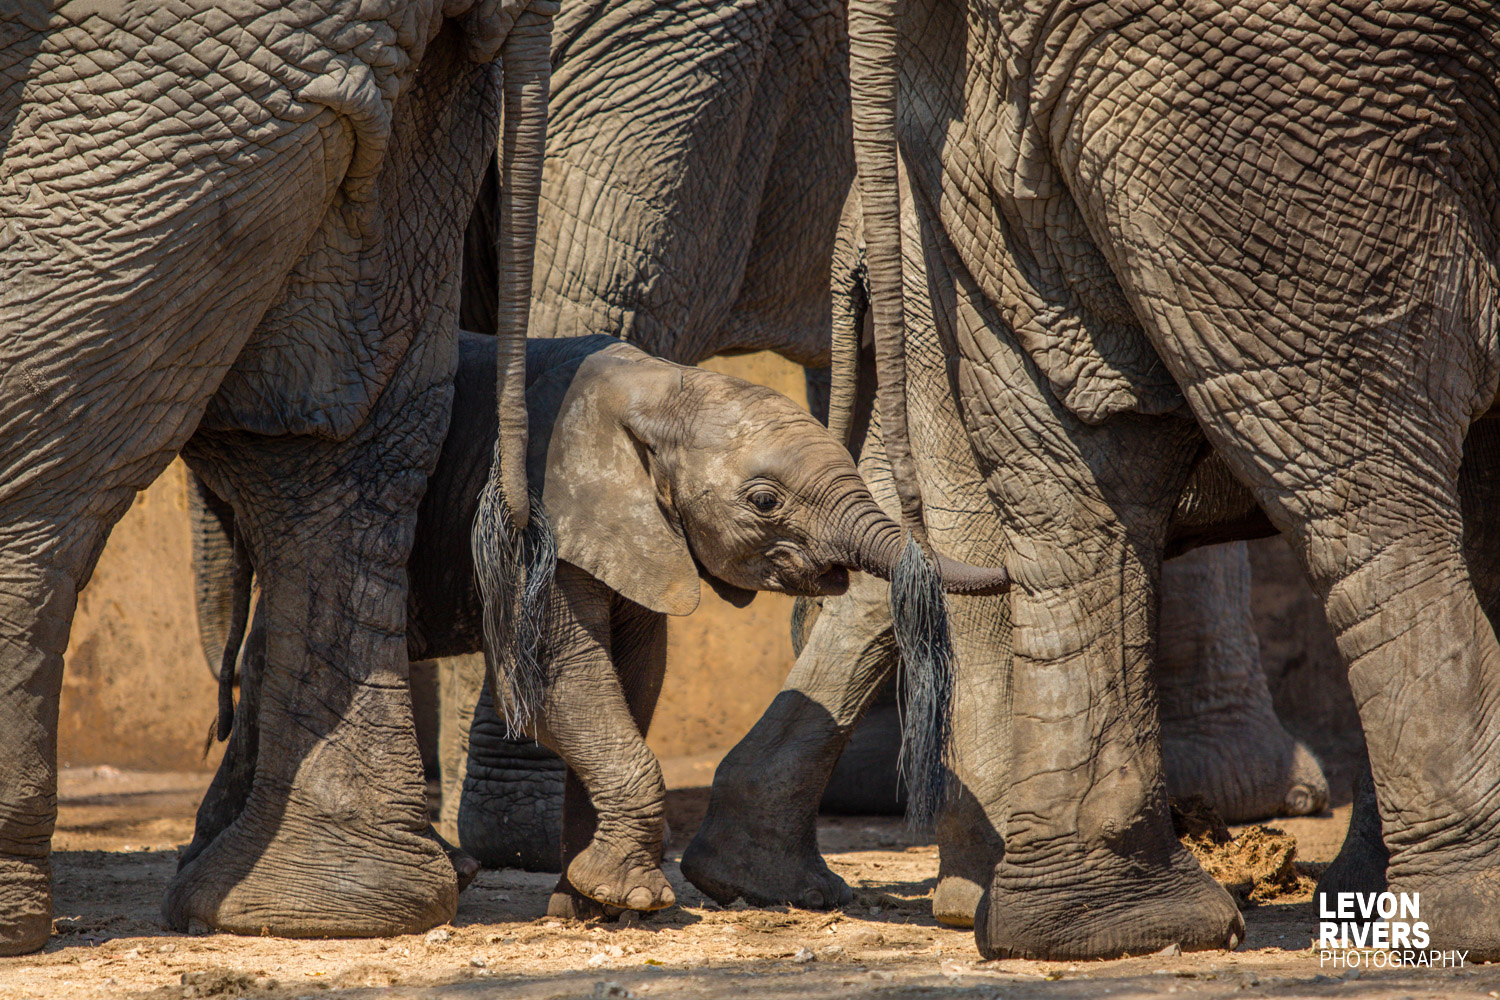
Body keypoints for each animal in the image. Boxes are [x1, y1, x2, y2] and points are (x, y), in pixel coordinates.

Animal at [199, 331, 1011, 918]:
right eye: (764, 501)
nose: (1008, 569)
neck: (665, 390)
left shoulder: (644, 534)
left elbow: (634, 679)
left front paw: (585, 905)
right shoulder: (540, 513)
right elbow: (567, 681)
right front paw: (632, 899)